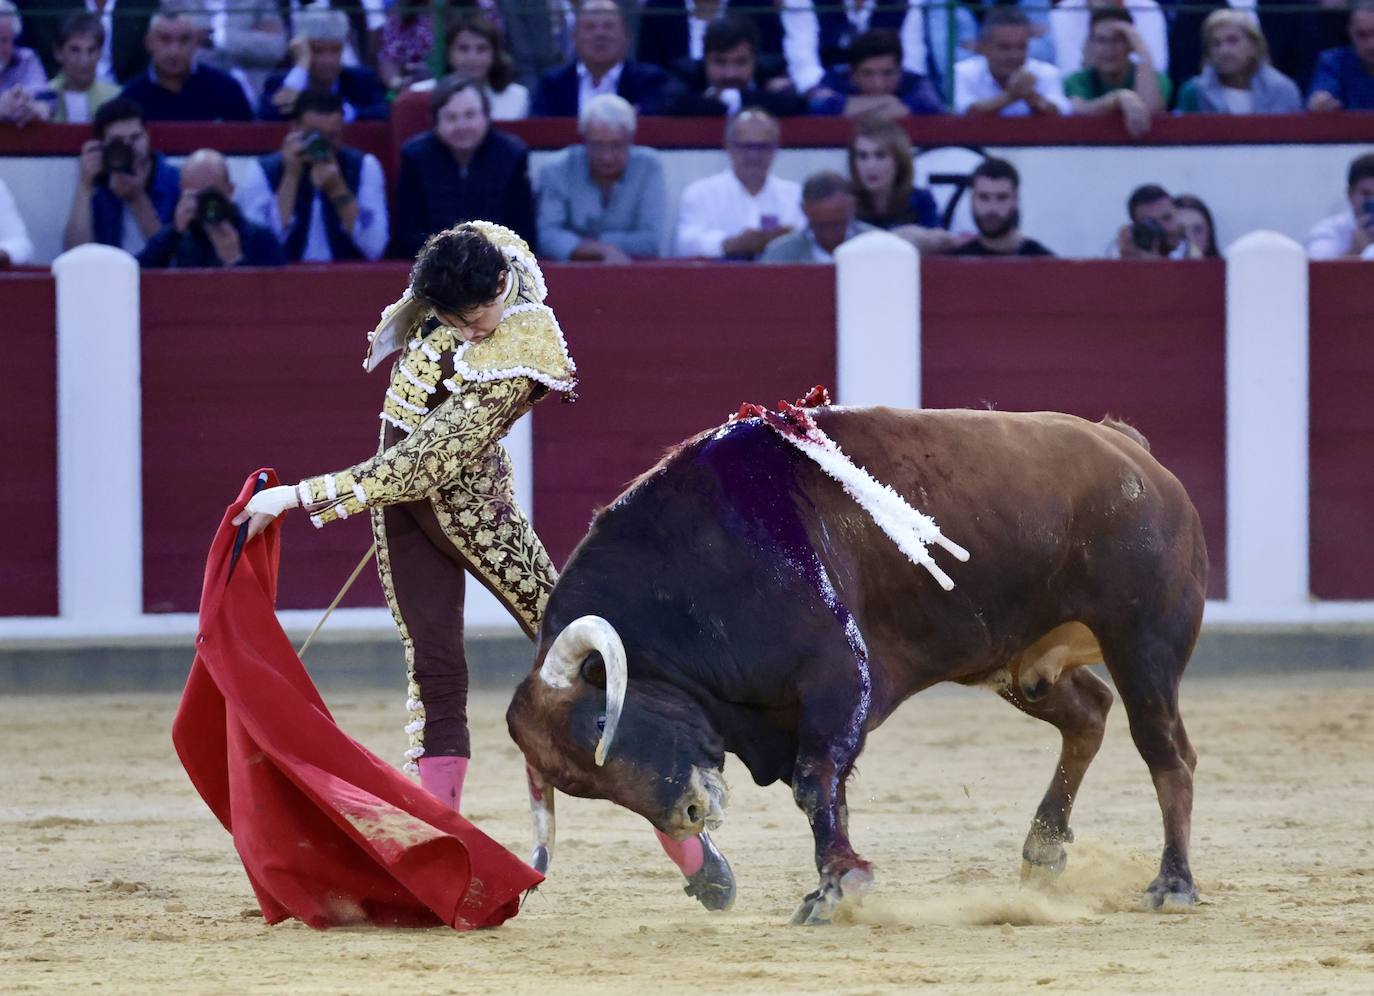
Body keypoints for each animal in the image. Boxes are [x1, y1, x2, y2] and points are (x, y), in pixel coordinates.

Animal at [505, 406, 1203, 923]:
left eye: (601, 725)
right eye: (586, 786)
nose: (689, 815)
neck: (699, 565)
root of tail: (1132, 452)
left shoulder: (839, 678)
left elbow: (816, 780)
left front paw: (839, 887)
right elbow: (824, 793)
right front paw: (831, 883)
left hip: (1143, 641)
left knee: (1166, 751)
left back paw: (1172, 883)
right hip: (1016, 661)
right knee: (1089, 713)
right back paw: (1043, 850)